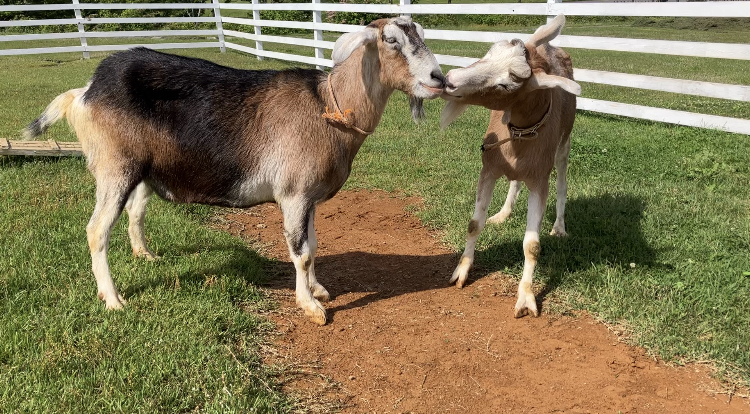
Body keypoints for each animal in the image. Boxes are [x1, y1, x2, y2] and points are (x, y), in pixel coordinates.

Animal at [23, 17, 444, 326]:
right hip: (116, 166)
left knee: (134, 212)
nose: (438, 79)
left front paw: (318, 289)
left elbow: (313, 246)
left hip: (140, 170)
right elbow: (300, 252)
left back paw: (146, 257)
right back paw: (113, 300)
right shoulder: (293, 193)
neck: (328, 107)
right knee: (97, 230)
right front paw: (311, 307)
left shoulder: (307, 197)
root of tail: (84, 92)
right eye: (390, 40)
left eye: (421, 35)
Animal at [440, 15, 581, 318]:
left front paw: (526, 298)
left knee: (562, 180)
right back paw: (503, 213)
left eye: (507, 85)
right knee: (515, 180)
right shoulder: (489, 167)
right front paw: (461, 271)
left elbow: (532, 245)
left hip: (564, 145)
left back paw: (560, 227)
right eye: (488, 53)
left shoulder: (539, 179)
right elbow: (474, 223)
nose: (449, 80)